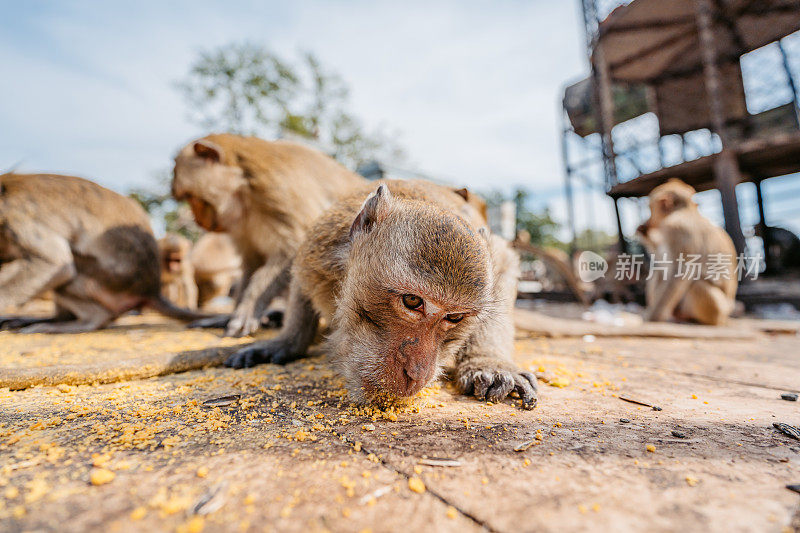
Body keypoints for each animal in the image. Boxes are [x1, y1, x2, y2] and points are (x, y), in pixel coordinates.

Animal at [0, 175, 209, 332]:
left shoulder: (17, 216)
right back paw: (54, 320)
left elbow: (55, 262)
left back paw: (88, 322)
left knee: (70, 271)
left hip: (112, 283)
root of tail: (150, 290)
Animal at [173, 133, 368, 334]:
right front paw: (231, 315)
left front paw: (249, 308)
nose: (197, 220)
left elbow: (293, 250)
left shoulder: (278, 192)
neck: (244, 190)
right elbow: (252, 261)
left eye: (192, 198)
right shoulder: (241, 226)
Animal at [225, 179, 536, 408]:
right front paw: (287, 342)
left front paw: (489, 363)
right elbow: (298, 277)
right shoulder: (317, 253)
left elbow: (505, 264)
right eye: (412, 301)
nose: (416, 374)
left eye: (455, 317)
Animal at [636, 179, 740, 324]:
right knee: (660, 271)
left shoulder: (677, 229)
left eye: (651, 209)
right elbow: (663, 259)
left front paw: (652, 317)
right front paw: (645, 234)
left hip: (718, 309)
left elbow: (678, 273)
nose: (648, 220)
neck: (687, 210)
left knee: (695, 284)